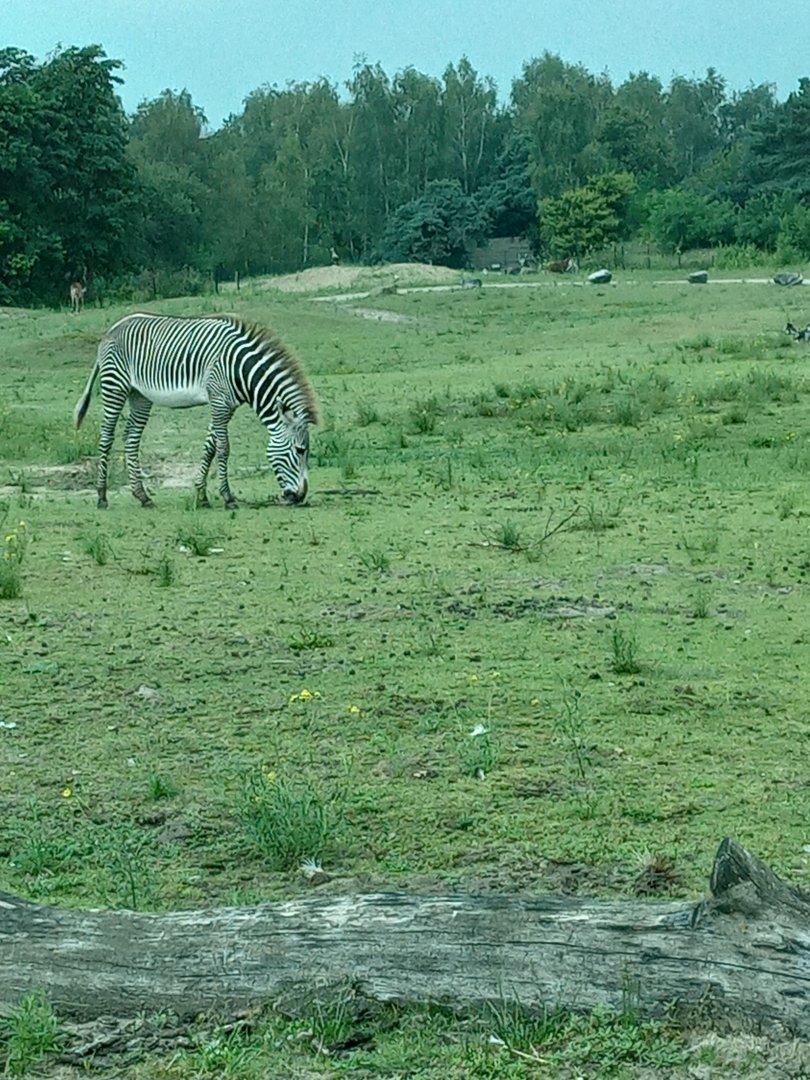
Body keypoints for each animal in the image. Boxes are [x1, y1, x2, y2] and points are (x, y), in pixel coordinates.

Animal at [73, 312, 318, 510]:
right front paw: (228, 497)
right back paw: (102, 496)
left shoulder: (224, 405)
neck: (240, 370)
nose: (299, 497)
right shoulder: (219, 402)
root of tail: (113, 328)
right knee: (106, 437)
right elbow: (224, 448)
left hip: (139, 395)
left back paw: (142, 496)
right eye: (300, 450)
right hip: (115, 386)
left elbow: (210, 447)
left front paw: (201, 496)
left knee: (131, 437)